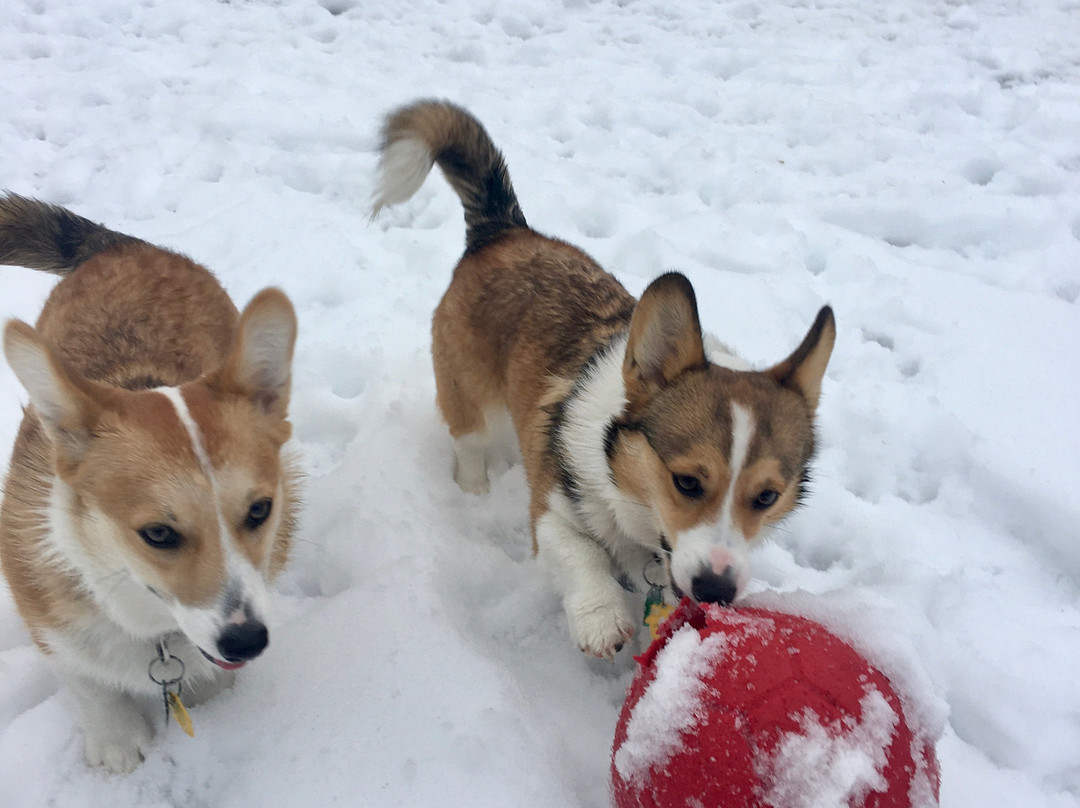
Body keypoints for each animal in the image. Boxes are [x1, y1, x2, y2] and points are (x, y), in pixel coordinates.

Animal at [0, 194, 300, 769]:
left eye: (259, 510)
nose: (248, 642)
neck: (149, 626)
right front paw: (115, 741)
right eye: (158, 534)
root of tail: (130, 246)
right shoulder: (49, 624)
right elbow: (88, 684)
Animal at [371, 101, 833, 661]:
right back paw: (475, 488)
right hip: (468, 395)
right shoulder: (552, 510)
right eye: (688, 482)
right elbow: (580, 555)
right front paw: (601, 619)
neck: (629, 493)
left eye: (767, 497)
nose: (716, 590)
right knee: (469, 442)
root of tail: (503, 229)